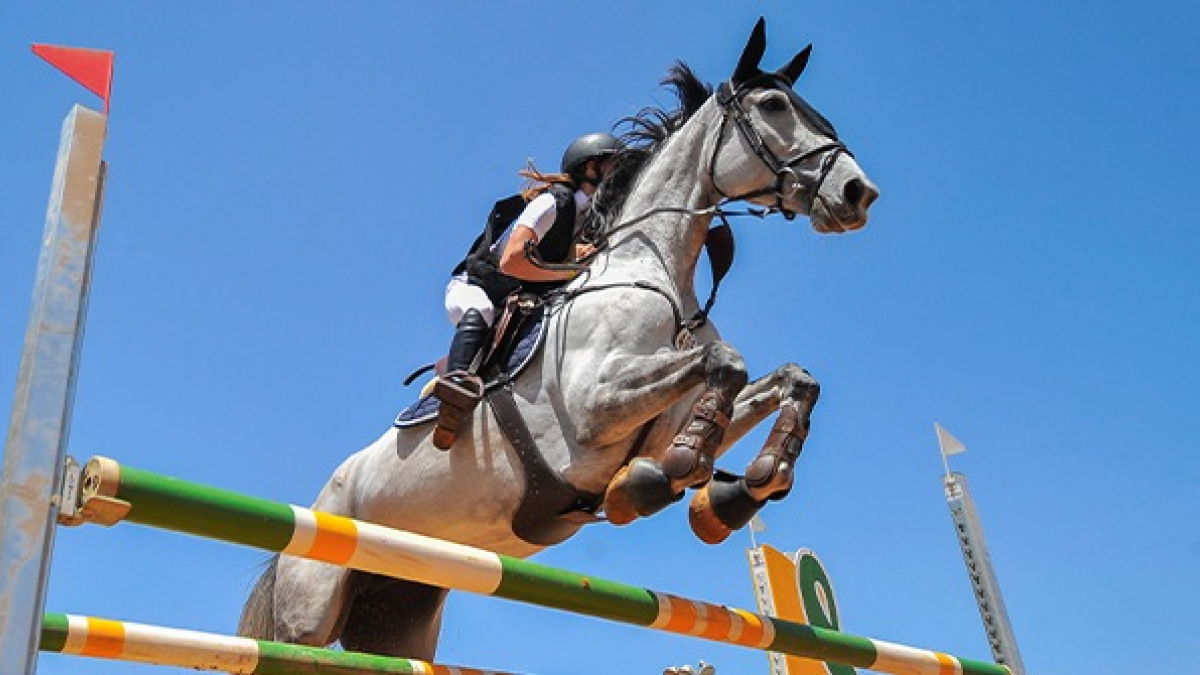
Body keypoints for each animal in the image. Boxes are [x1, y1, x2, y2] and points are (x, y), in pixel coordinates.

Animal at [241, 19, 883, 658]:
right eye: (774, 105)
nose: (859, 193)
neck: (653, 268)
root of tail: (314, 508)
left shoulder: (664, 416)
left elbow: (790, 380)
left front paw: (742, 487)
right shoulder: (591, 408)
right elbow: (726, 363)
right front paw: (674, 480)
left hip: (402, 613)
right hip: (310, 609)